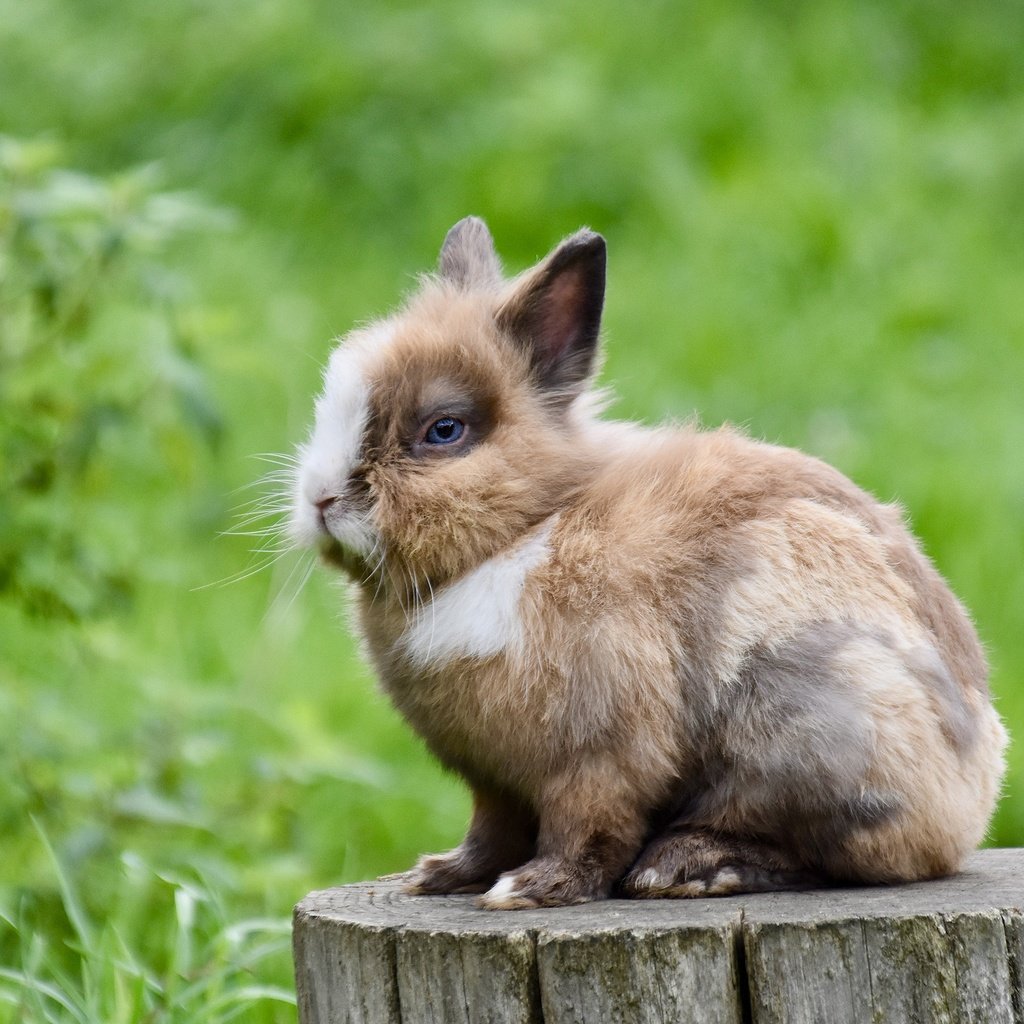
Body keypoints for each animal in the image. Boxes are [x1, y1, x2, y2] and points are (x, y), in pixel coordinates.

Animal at [288, 220, 1007, 909]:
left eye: (444, 430)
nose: (322, 499)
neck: (527, 531)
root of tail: (975, 798)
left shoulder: (598, 754)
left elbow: (587, 828)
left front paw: (530, 892)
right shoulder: (493, 781)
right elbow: (490, 834)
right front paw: (441, 876)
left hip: (810, 724)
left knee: (828, 854)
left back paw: (683, 868)